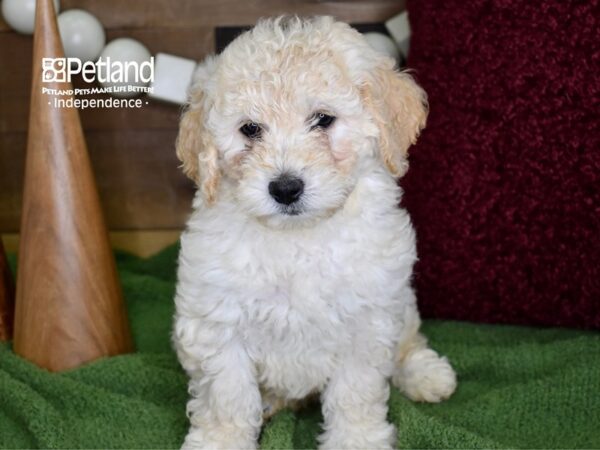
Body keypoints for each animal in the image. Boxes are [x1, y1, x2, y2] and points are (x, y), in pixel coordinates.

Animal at [176, 14, 458, 450]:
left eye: (323, 120)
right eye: (250, 129)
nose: (285, 188)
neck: (298, 237)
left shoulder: (366, 321)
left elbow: (355, 394)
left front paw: (357, 440)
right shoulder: (218, 321)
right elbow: (227, 397)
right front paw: (221, 440)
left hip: (400, 304)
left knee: (409, 342)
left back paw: (427, 375)